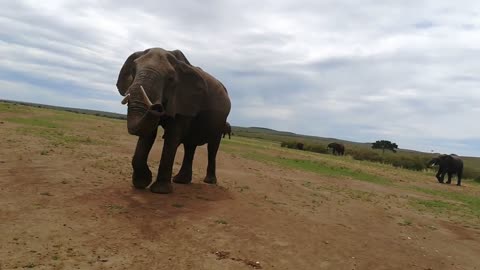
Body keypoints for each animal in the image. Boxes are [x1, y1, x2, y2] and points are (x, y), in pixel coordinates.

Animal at [115, 47, 230, 193]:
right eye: (133, 71)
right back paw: (181, 181)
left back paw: (209, 182)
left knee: (212, 147)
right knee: (190, 145)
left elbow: (172, 135)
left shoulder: (185, 100)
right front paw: (141, 183)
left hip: (221, 121)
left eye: (170, 79)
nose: (157, 107)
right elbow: (148, 134)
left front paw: (160, 191)